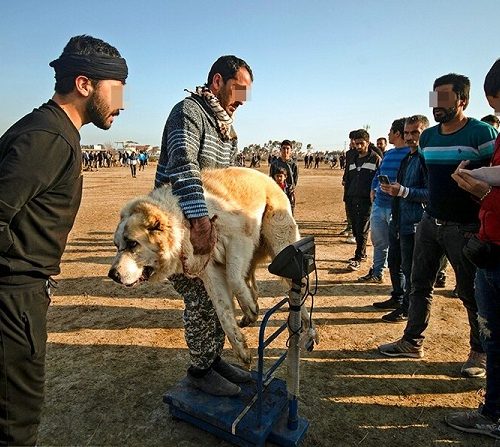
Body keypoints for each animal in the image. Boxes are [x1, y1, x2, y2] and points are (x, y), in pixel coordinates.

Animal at [110, 168, 316, 368]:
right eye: (117, 245)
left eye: (133, 244)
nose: (112, 275)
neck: (184, 223)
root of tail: (270, 180)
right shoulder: (210, 270)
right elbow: (222, 310)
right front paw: (241, 349)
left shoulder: (238, 239)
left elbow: (233, 279)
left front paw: (249, 309)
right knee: (251, 282)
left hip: (281, 248)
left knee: (297, 291)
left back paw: (308, 328)